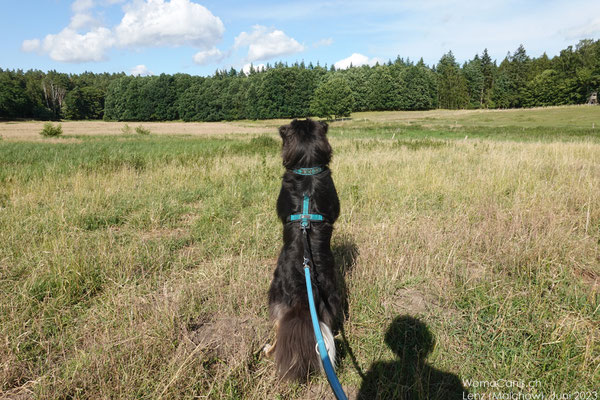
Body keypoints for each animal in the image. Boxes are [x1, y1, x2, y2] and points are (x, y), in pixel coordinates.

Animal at [264, 119, 340, 382]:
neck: (307, 167)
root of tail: (300, 295)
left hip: (276, 296)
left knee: (277, 332)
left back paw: (267, 349)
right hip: (330, 301)